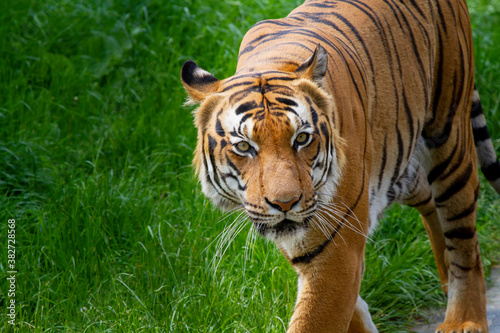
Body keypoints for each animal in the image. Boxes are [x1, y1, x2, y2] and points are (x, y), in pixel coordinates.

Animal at [181, 0, 500, 330]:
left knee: (464, 242)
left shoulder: (337, 250)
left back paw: (463, 320)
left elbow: (315, 320)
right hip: (401, 161)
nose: (285, 204)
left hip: (449, 139)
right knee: (428, 198)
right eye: (244, 146)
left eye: (302, 138)